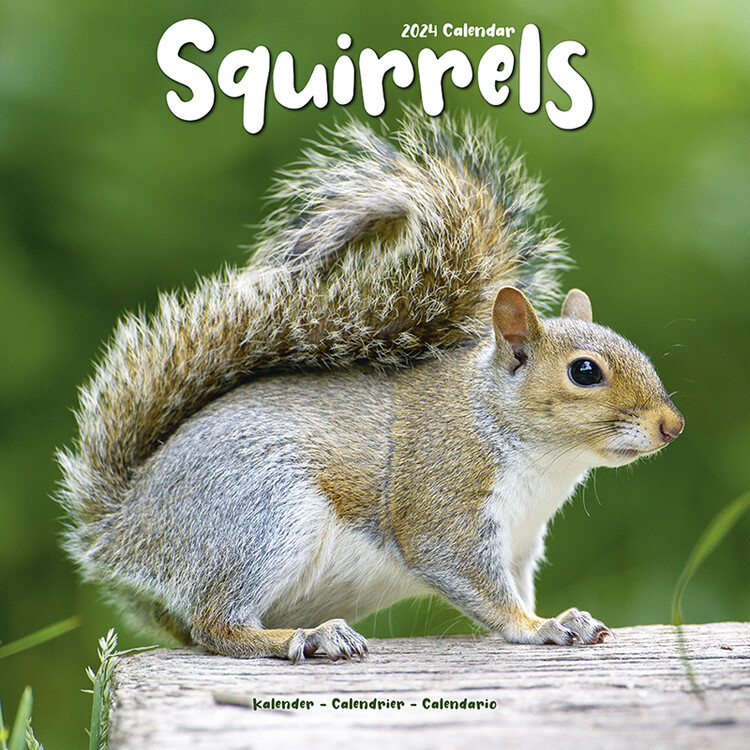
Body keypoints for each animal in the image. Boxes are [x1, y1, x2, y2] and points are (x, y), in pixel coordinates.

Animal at [56, 110, 684, 663]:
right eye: (585, 372)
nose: (672, 427)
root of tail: (124, 528)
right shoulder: (446, 500)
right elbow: (475, 582)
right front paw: (540, 626)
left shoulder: (522, 542)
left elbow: (516, 585)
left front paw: (565, 617)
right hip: (264, 516)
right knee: (216, 625)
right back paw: (303, 638)